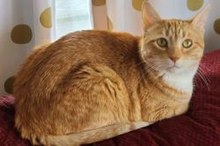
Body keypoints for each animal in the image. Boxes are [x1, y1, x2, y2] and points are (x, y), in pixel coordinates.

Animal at [12, 1, 209, 146]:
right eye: (162, 42)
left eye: (187, 44)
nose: (175, 58)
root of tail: (26, 121)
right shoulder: (161, 112)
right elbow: (184, 107)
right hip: (104, 75)